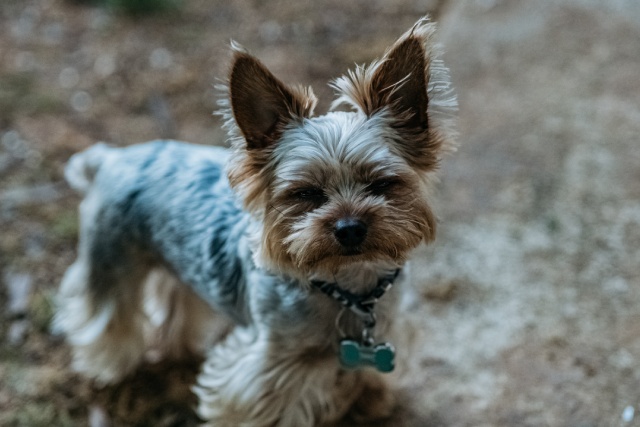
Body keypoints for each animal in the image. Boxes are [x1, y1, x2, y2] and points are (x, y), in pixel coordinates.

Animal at [53, 17, 456, 427]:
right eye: (305, 193)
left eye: (382, 184)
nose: (350, 229)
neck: (350, 286)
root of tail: (113, 157)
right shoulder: (269, 366)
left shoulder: (388, 331)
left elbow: (367, 374)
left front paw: (371, 400)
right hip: (111, 257)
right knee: (107, 313)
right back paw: (111, 366)